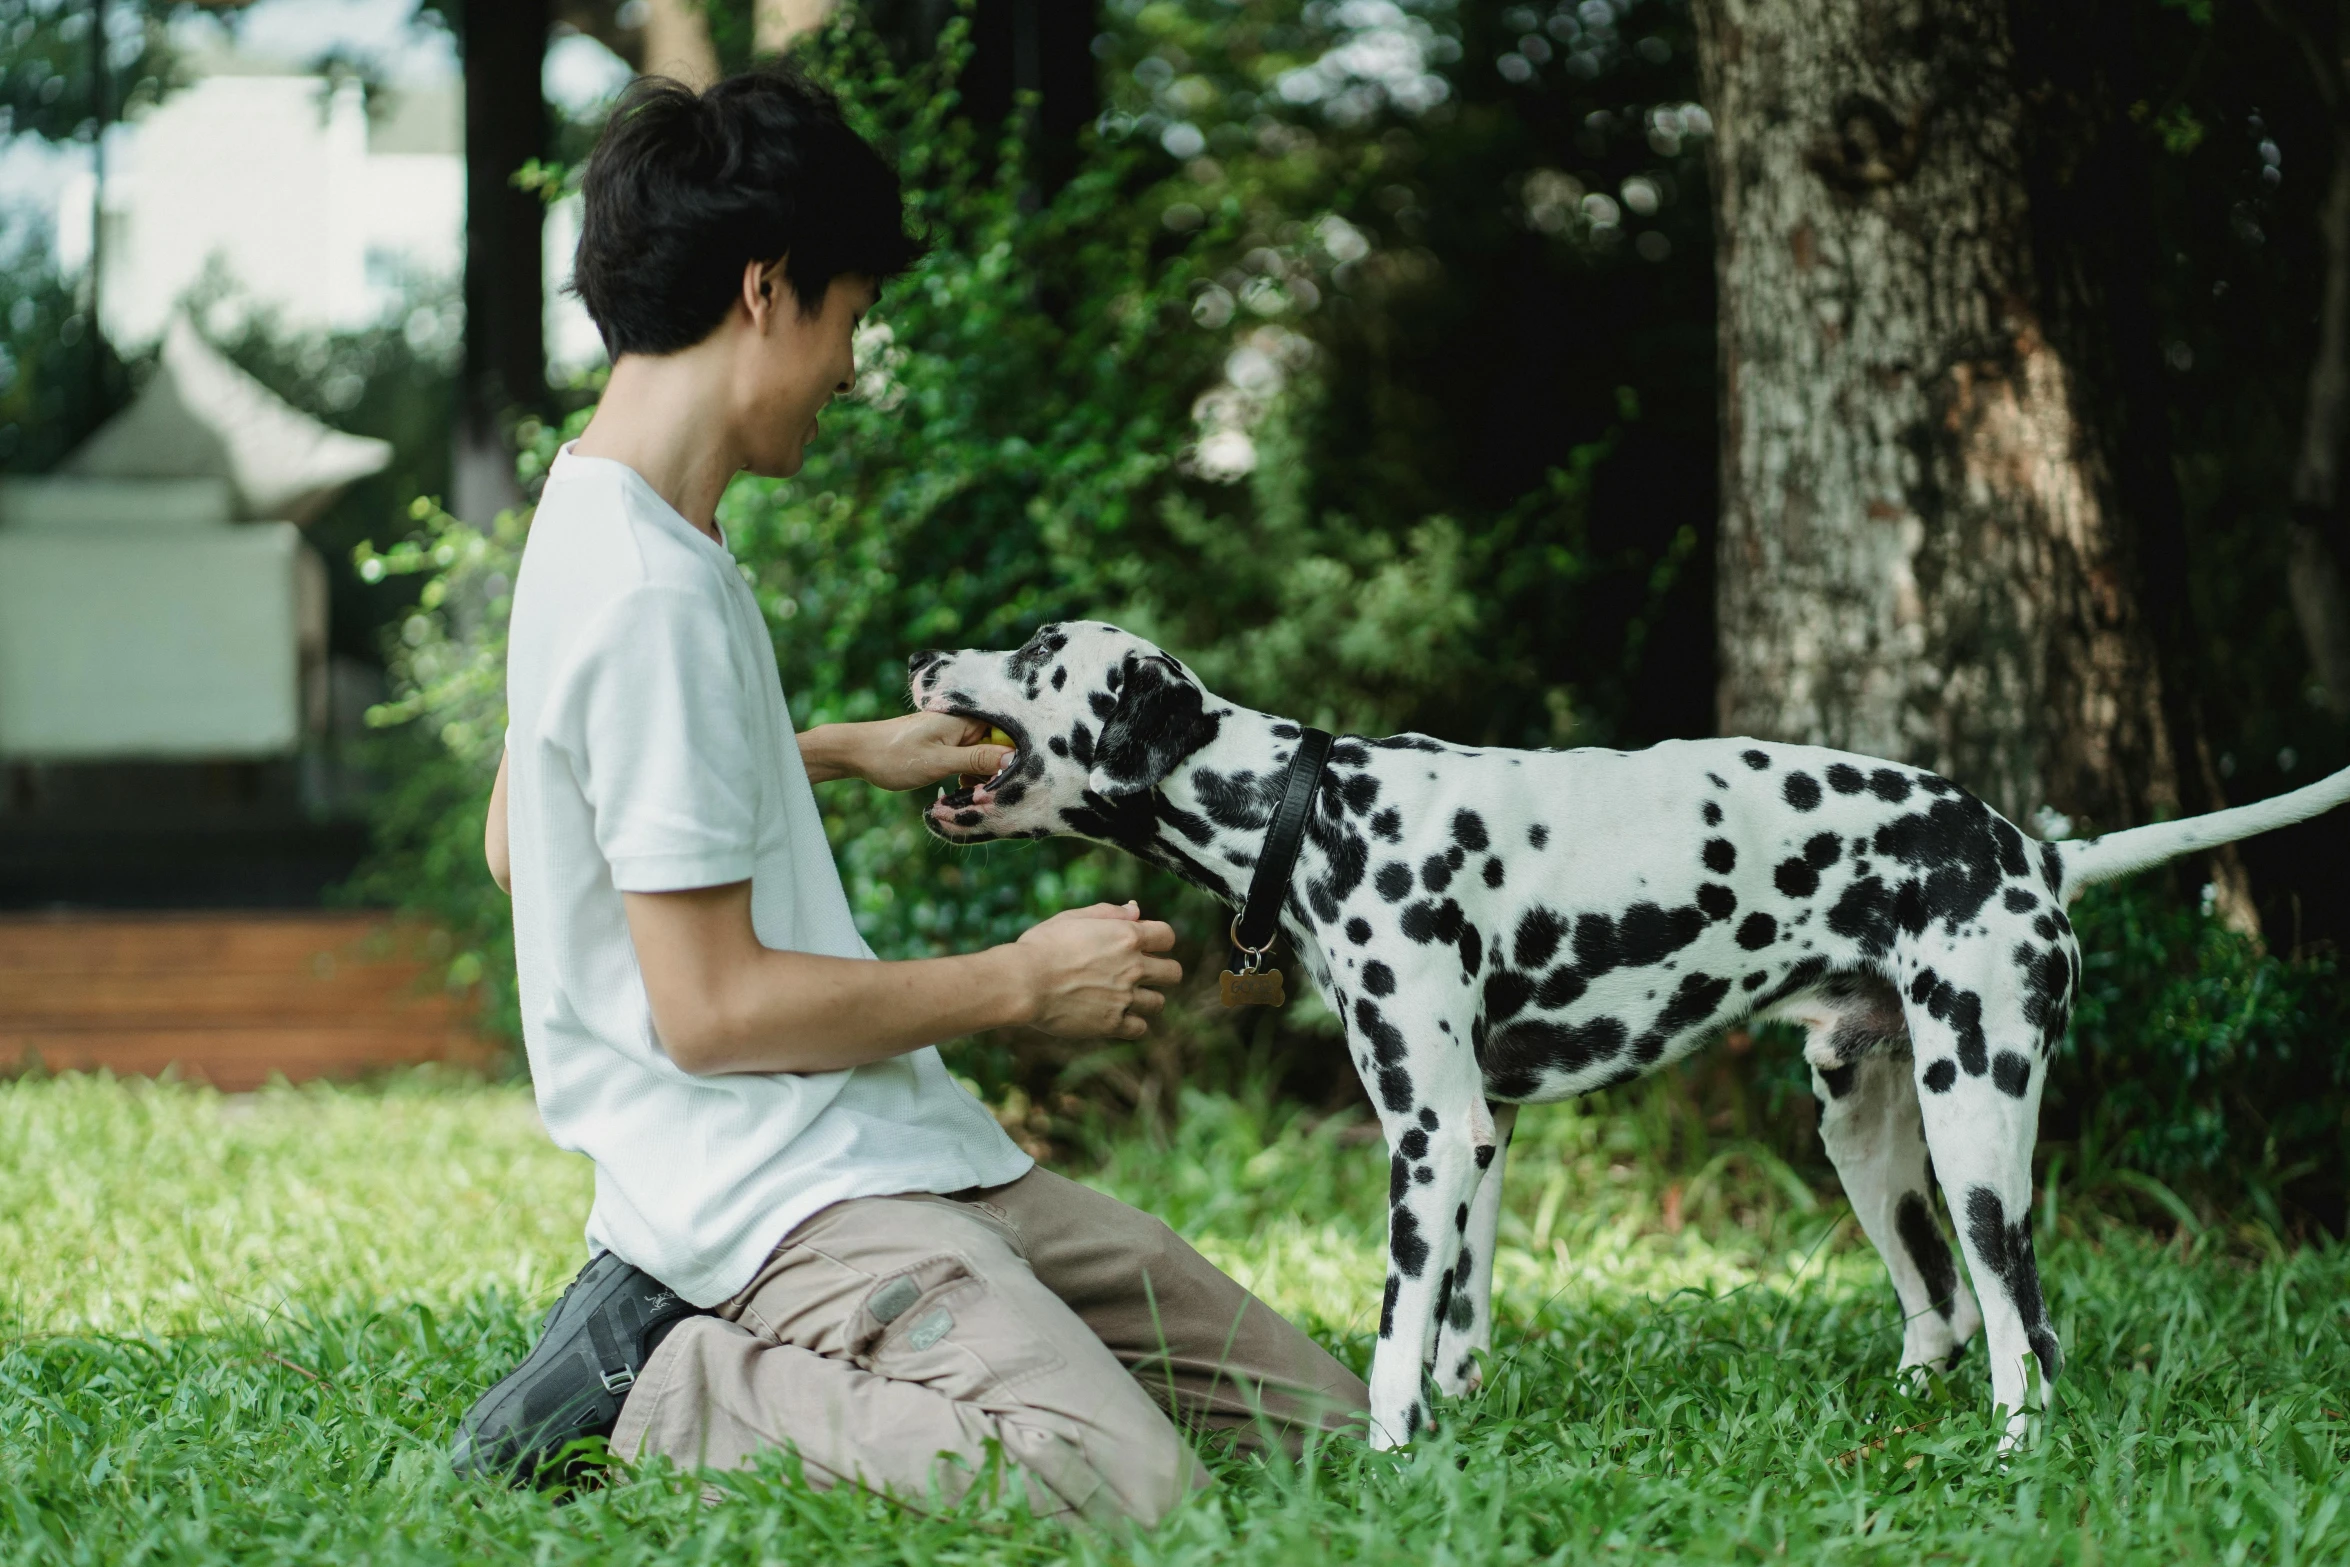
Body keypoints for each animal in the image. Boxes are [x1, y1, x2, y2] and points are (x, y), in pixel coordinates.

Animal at [907, 620, 2350, 1447]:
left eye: (1036, 651)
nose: (920, 656)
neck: (1312, 808)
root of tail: (2031, 851)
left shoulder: (1430, 1136)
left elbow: (1388, 1342)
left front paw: (1386, 1459)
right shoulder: (1478, 1139)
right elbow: (1456, 1329)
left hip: (1977, 1134)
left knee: (2023, 1333)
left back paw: (2009, 1456)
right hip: (1867, 1136)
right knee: (1940, 1309)